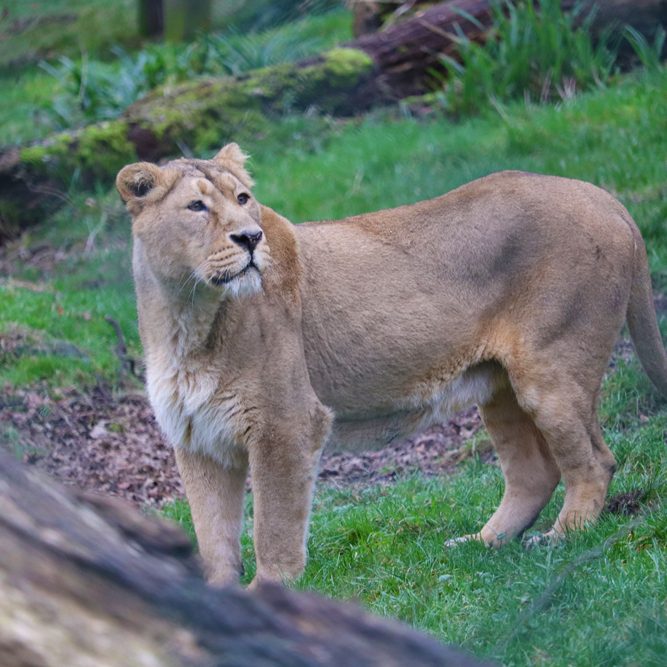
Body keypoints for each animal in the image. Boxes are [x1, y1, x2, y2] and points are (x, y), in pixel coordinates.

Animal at [117, 145, 667, 584]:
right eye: (196, 206)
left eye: (243, 199)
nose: (251, 238)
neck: (186, 317)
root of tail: (605, 197)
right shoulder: (198, 441)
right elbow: (213, 537)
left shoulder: (286, 425)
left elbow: (273, 527)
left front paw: (270, 594)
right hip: (499, 387)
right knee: (534, 473)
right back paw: (483, 545)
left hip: (551, 371)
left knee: (594, 462)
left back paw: (560, 540)